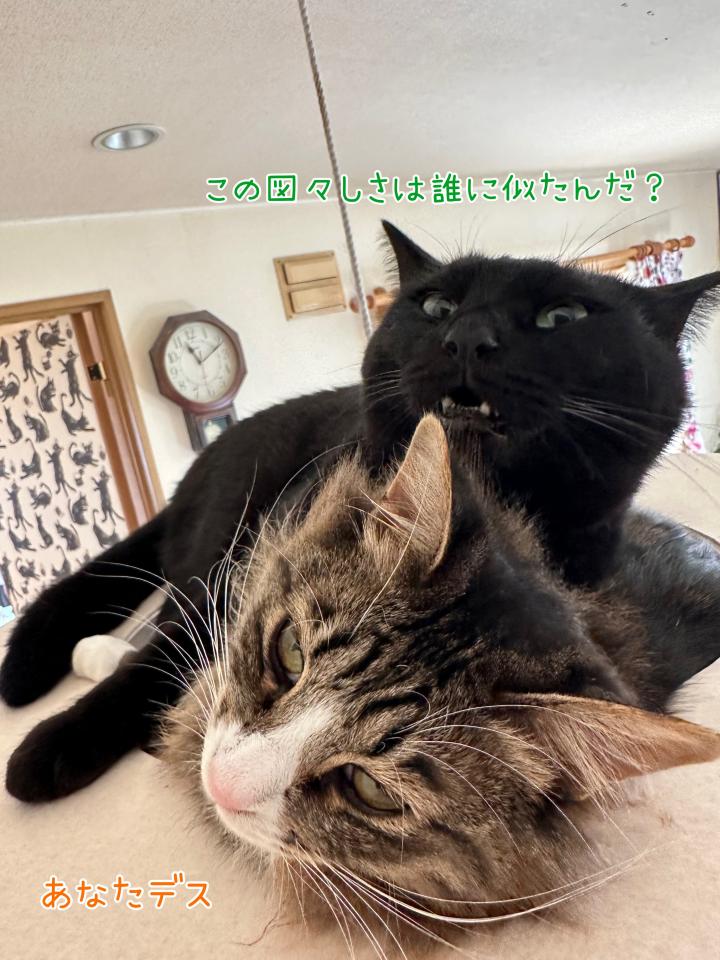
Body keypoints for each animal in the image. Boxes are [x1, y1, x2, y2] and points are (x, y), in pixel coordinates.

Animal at [1, 221, 718, 749]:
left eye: (561, 317)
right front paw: (52, 748)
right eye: (436, 306)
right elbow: (169, 656)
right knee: (166, 618)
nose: (466, 335)